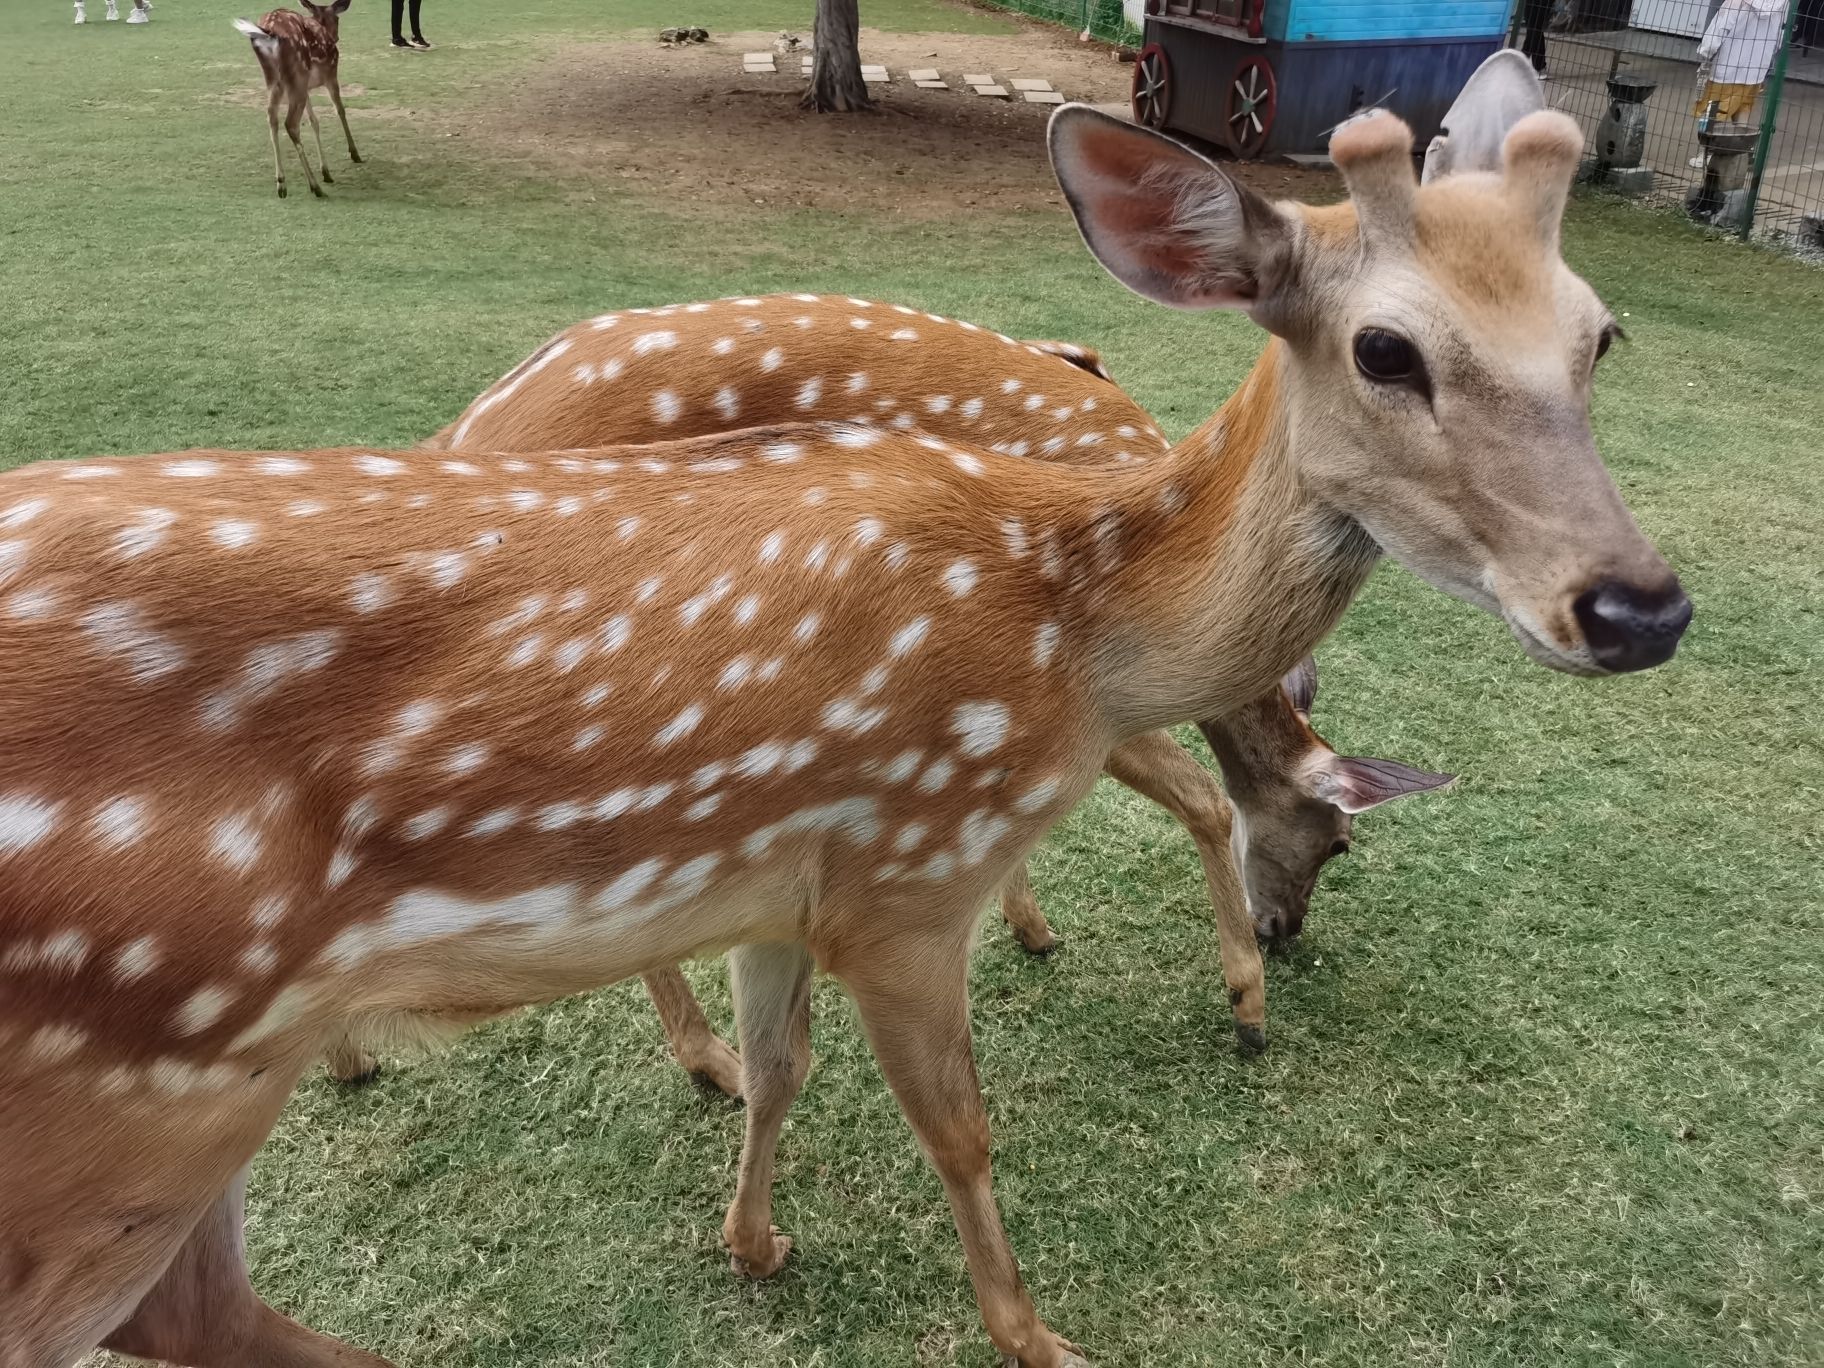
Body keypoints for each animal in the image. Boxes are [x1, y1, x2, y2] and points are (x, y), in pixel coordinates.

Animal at [231, 0, 360, 201]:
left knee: (272, 117)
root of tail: (269, 33)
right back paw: (315, 187)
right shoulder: (330, 75)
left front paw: (326, 171)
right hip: (297, 74)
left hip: (275, 80)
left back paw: (281, 184)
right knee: (290, 124)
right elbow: (340, 110)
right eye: (337, 19)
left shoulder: (305, 87)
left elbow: (314, 121)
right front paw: (354, 154)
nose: (336, 37)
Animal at [314, 295, 1453, 1092]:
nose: (1286, 933)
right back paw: (713, 1063)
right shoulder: (1086, 683)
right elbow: (1205, 797)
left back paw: (351, 1058)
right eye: (1339, 842)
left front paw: (1031, 927)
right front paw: (1242, 1006)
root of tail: (467, 428)